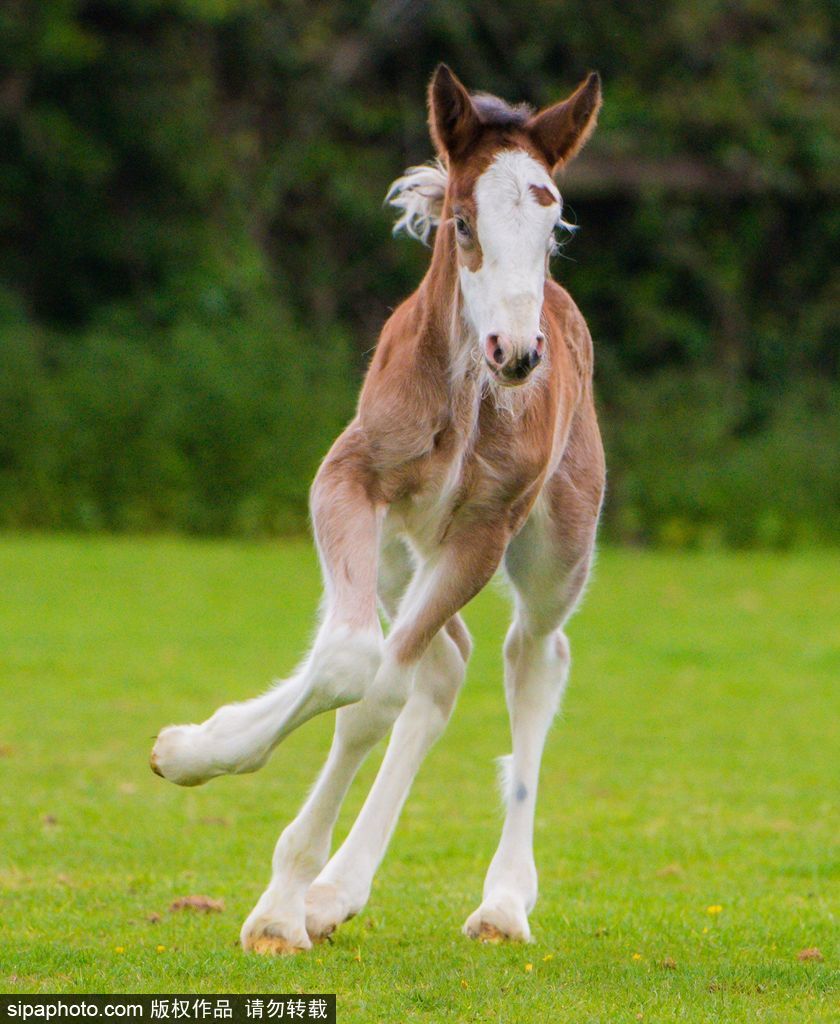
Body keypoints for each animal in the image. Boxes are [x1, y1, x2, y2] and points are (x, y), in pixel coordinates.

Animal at [150, 66, 606, 950]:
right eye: (464, 221)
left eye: (553, 226)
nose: (518, 355)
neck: (465, 396)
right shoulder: (348, 479)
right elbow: (351, 659)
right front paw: (197, 751)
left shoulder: (483, 535)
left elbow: (372, 693)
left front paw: (281, 906)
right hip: (398, 552)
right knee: (441, 658)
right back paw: (329, 881)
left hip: (554, 551)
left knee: (533, 659)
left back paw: (500, 901)